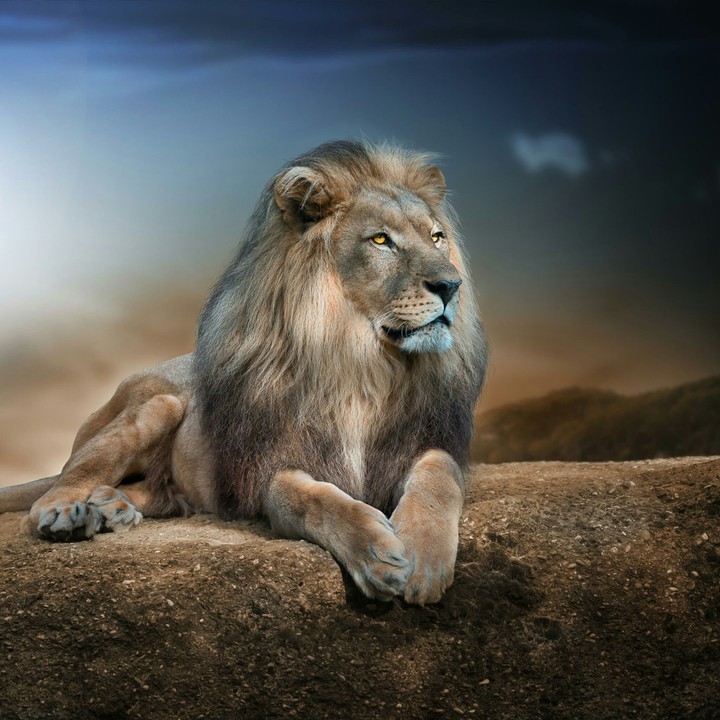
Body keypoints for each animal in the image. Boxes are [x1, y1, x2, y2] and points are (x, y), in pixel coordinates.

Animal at [0, 140, 487, 605]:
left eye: (437, 237)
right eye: (382, 241)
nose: (451, 286)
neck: (360, 363)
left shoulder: (424, 439)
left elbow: (439, 476)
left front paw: (423, 558)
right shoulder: (272, 464)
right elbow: (309, 499)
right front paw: (375, 552)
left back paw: (112, 507)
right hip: (158, 405)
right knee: (63, 482)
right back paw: (70, 513)